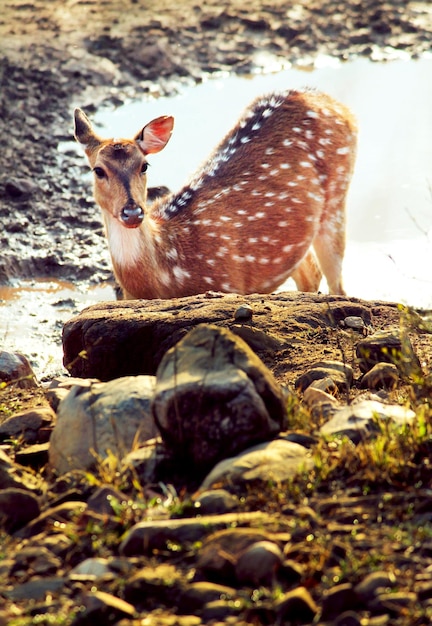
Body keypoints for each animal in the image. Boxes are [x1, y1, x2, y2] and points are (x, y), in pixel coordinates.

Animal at [74, 88, 358, 300]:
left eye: (144, 165)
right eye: (98, 170)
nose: (132, 213)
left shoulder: (230, 284)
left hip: (337, 198)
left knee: (338, 285)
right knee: (310, 273)